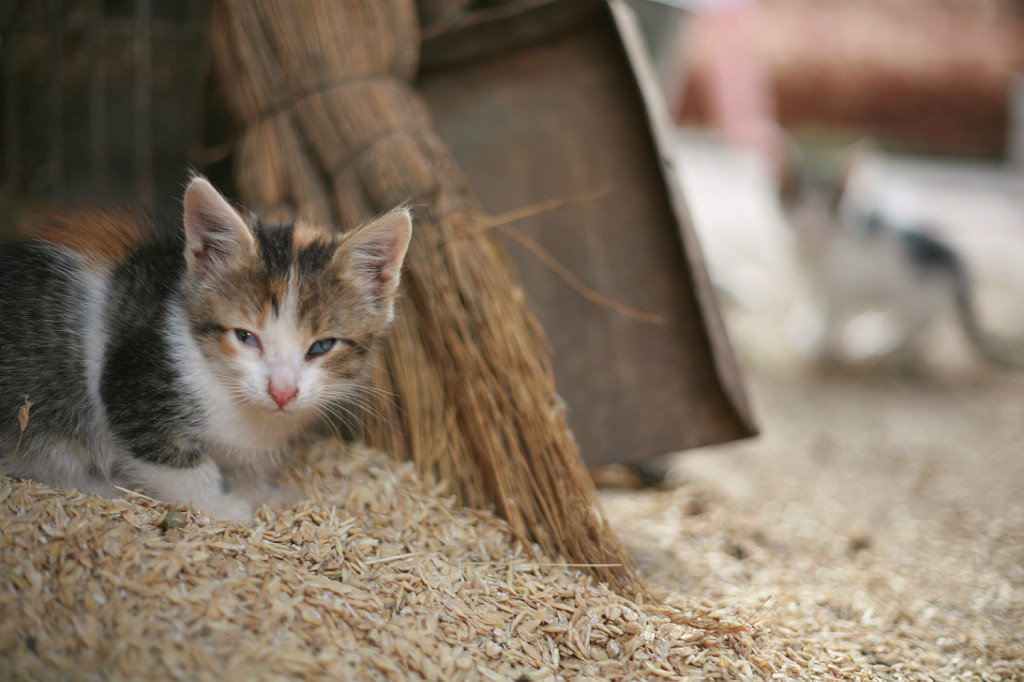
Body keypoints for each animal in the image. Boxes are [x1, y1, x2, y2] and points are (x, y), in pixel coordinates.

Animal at [4, 178, 413, 518]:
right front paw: (221, 508)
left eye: (323, 346)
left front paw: (262, 494)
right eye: (245, 337)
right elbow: (177, 464)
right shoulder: (135, 385)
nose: (281, 392)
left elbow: (248, 466)